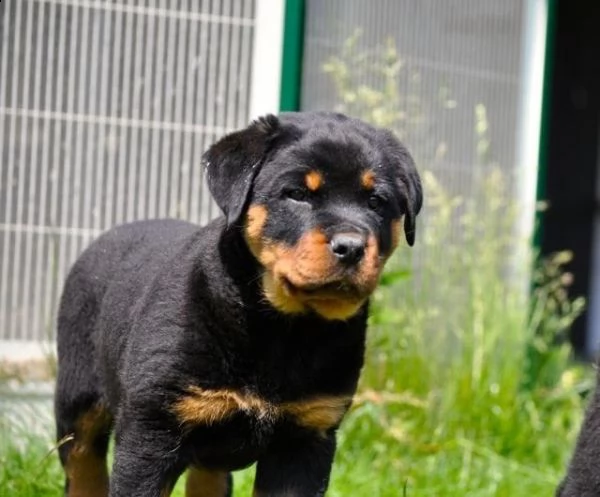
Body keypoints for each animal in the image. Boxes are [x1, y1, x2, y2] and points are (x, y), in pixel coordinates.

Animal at [55, 112, 422, 496]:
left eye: (376, 201)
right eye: (297, 194)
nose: (351, 247)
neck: (285, 328)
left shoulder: (307, 437)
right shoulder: (152, 429)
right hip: (78, 399)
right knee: (83, 464)